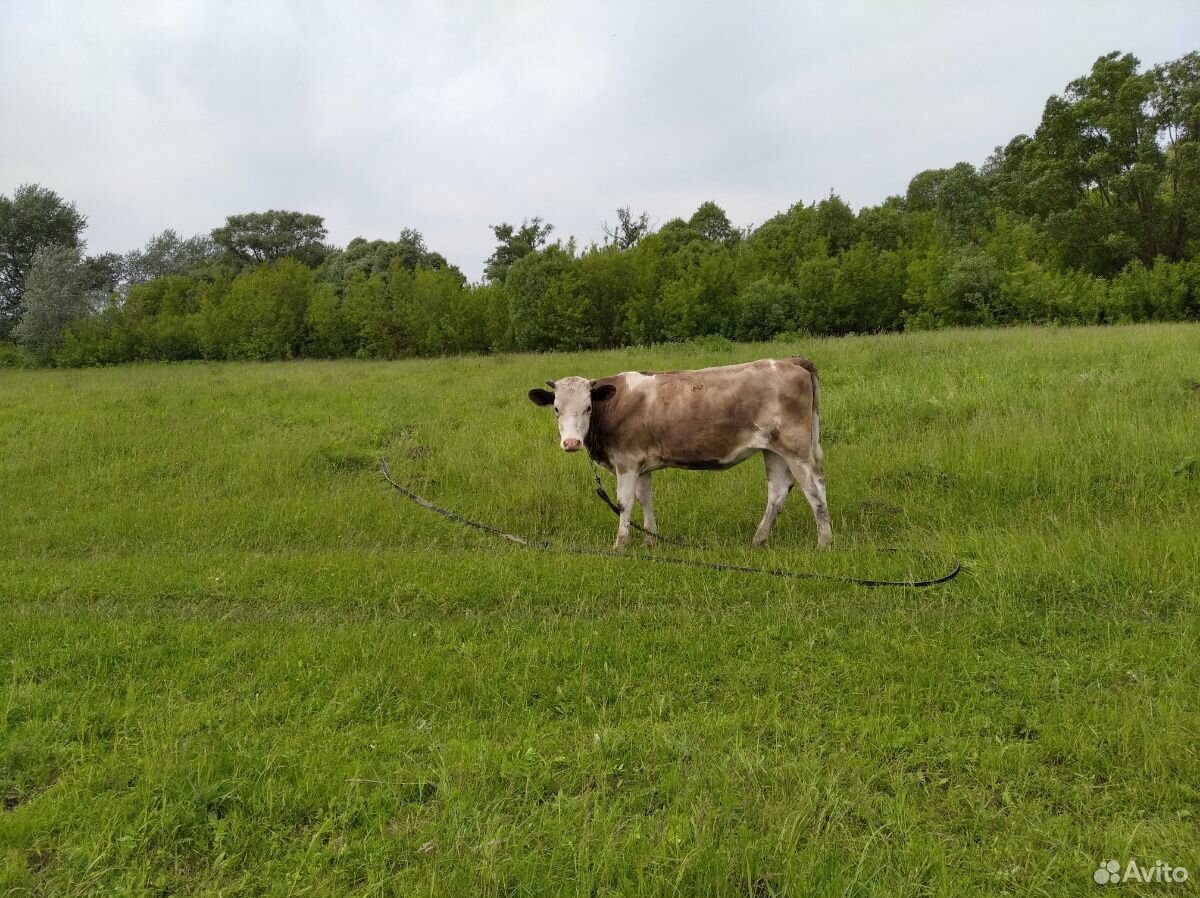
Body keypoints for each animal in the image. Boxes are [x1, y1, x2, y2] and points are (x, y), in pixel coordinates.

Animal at [530, 355, 830, 549]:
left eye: (588, 407)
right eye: (556, 408)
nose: (571, 443)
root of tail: (789, 360)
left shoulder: (626, 462)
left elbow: (624, 502)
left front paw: (619, 545)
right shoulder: (641, 463)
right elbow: (644, 498)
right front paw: (650, 539)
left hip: (796, 448)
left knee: (814, 487)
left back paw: (824, 542)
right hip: (774, 449)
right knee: (778, 491)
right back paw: (759, 540)